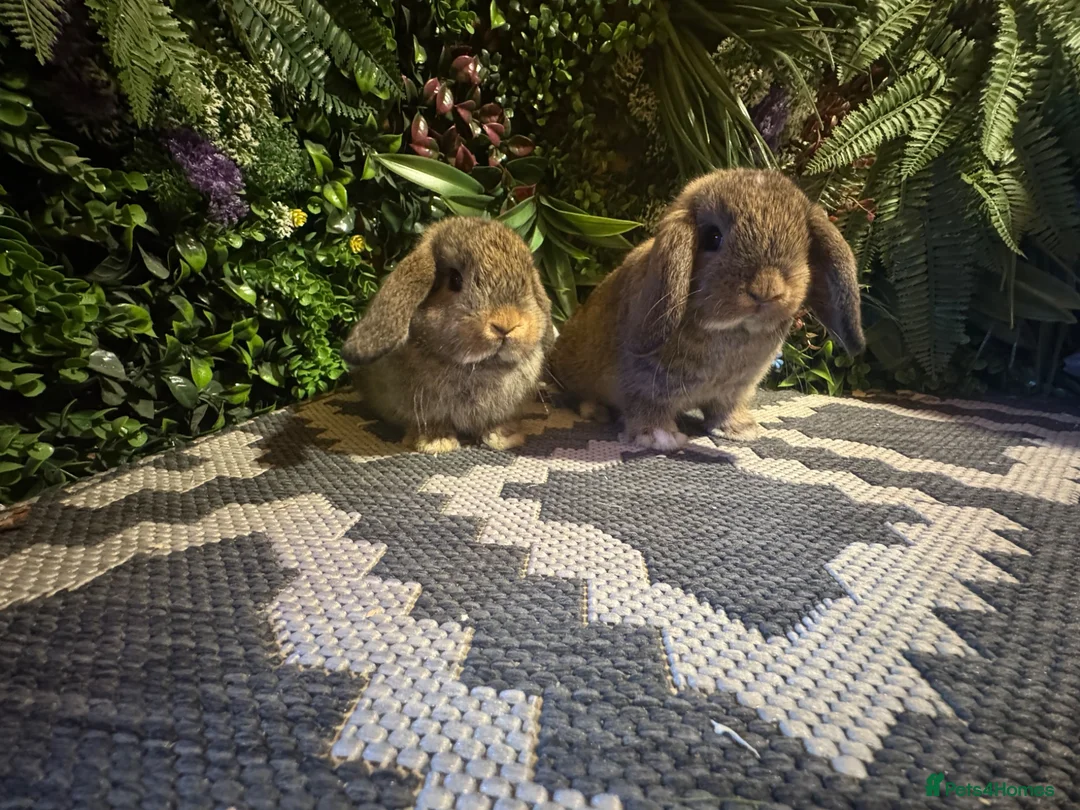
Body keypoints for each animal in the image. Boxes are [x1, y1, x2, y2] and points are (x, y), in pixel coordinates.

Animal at [341, 216, 555, 454]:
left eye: (526, 282)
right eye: (455, 279)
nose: (506, 324)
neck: (479, 367)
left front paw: (504, 438)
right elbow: (431, 423)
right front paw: (436, 443)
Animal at [549, 168, 864, 450]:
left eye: (804, 247)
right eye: (713, 237)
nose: (767, 290)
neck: (731, 331)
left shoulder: (734, 391)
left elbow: (725, 409)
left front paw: (740, 430)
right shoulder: (644, 385)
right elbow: (648, 409)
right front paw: (660, 438)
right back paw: (596, 411)